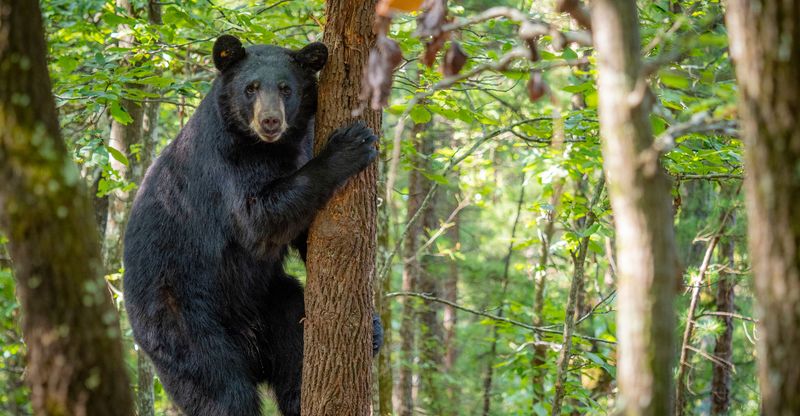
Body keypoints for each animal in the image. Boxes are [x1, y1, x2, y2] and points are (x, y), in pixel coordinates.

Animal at [125, 35, 384, 416]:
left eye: (286, 88)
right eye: (251, 88)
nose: (270, 121)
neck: (270, 147)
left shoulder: (303, 141)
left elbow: (304, 233)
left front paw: (375, 323)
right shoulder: (225, 164)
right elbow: (259, 218)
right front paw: (351, 144)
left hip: (272, 300)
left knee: (295, 351)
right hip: (181, 319)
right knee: (220, 390)